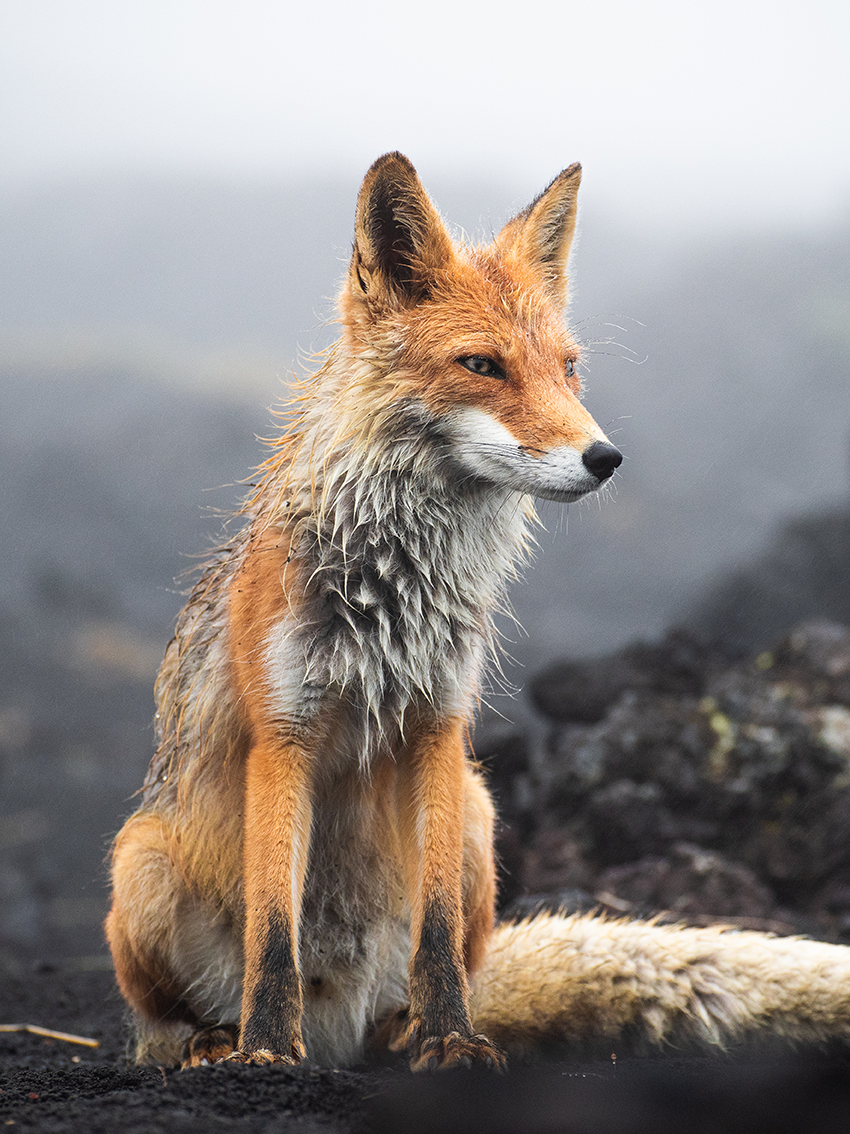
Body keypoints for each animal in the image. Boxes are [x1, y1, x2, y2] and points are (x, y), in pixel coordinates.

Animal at [108, 153, 850, 1070]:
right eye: (482, 365)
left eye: (569, 368)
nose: (605, 458)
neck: (394, 595)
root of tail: (339, 1023)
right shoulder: (285, 735)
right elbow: (273, 934)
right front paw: (266, 1053)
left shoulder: (439, 725)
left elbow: (435, 932)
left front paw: (452, 1040)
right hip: (139, 865)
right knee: (161, 1022)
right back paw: (216, 1040)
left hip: (477, 814)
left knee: (443, 962)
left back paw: (403, 1031)